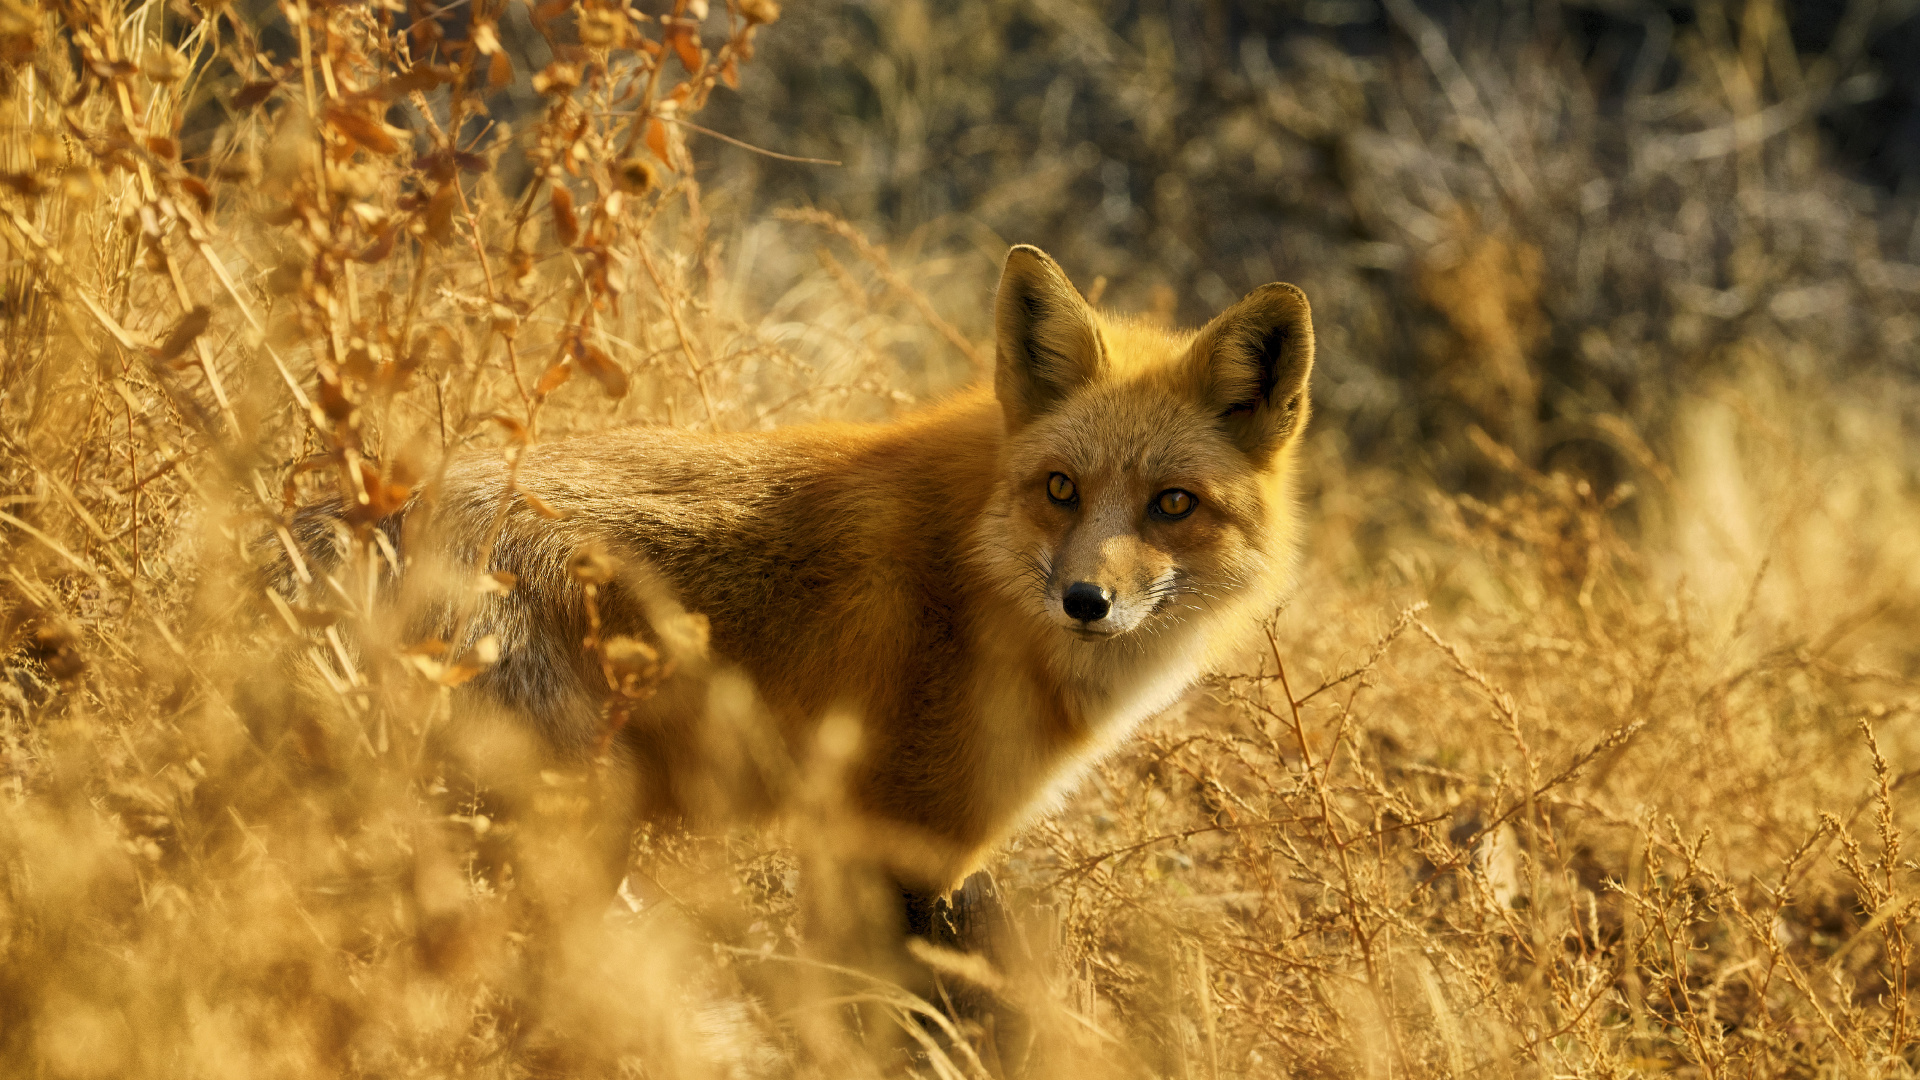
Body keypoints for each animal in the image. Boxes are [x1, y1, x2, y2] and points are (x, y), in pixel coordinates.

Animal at [284, 242, 1313, 926]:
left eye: (1172, 504)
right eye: (1062, 489)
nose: (1087, 601)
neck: (976, 572)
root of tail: (370, 509)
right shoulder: (895, 847)